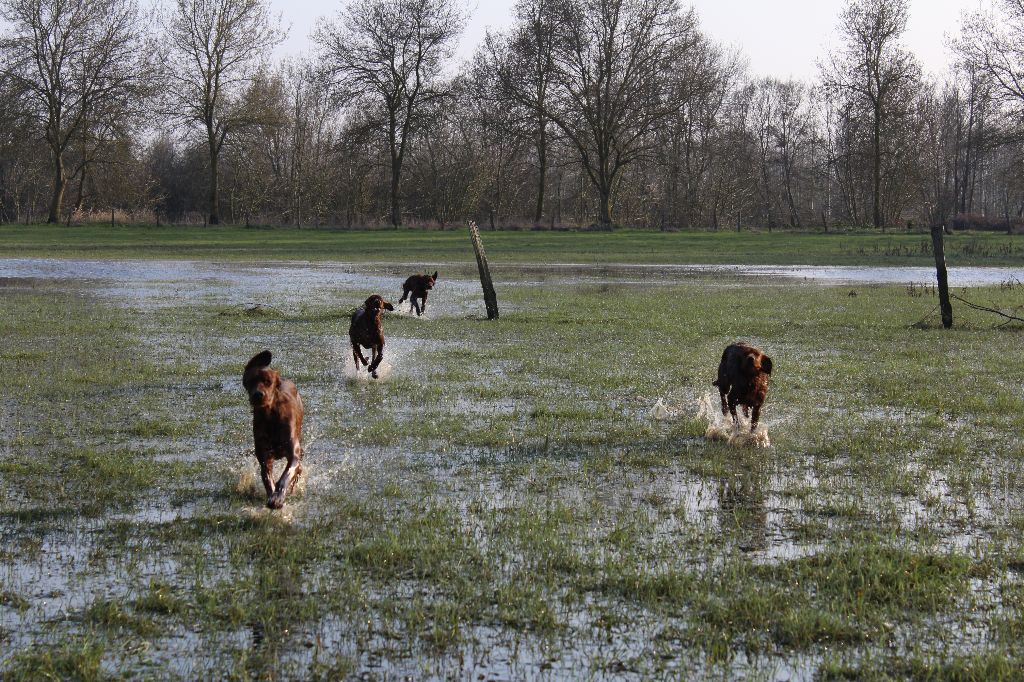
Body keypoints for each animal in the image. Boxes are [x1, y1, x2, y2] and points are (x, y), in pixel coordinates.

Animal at [243, 350, 303, 503]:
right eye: (251, 381)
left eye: (268, 382)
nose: (258, 394)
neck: (270, 416)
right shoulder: (265, 456)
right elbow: (267, 477)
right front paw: (272, 495)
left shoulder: (293, 452)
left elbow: (286, 475)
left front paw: (278, 496)